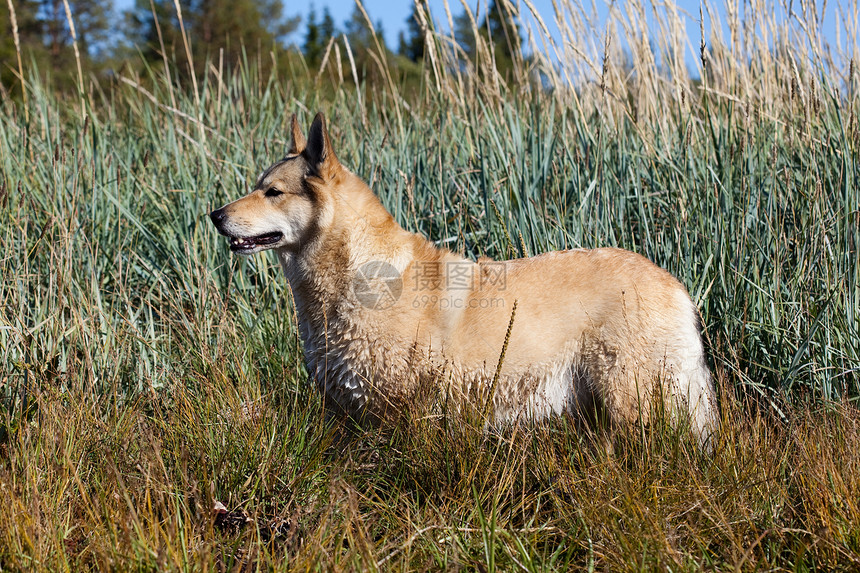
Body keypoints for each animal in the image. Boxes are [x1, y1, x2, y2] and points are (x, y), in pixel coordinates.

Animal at [208, 110, 720, 442]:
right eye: (256, 187)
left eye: (272, 192)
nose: (214, 215)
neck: (349, 276)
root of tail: (673, 284)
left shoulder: (397, 412)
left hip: (634, 401)